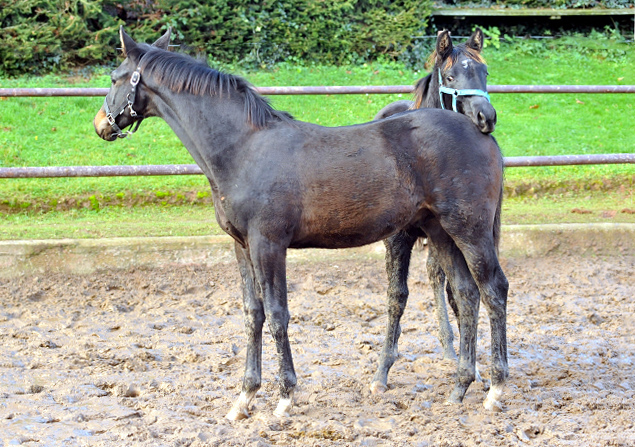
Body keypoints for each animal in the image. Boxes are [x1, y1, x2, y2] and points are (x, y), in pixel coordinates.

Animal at [94, 28, 510, 420]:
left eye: (115, 77)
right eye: (452, 75)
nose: (101, 124)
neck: (243, 148)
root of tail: (483, 135)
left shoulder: (268, 244)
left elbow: (278, 314)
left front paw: (284, 397)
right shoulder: (242, 246)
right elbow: (253, 313)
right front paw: (244, 397)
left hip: (469, 230)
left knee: (493, 289)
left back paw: (495, 389)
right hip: (441, 231)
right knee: (466, 293)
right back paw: (460, 386)